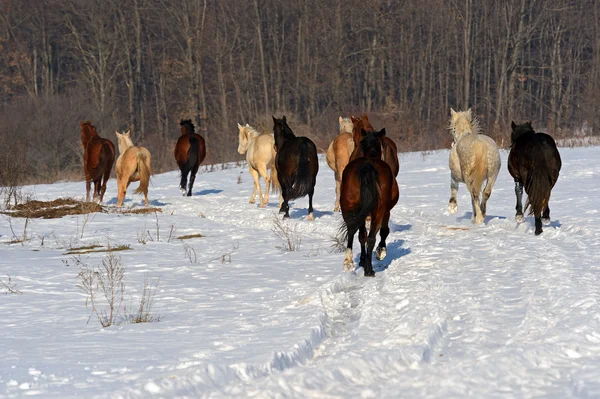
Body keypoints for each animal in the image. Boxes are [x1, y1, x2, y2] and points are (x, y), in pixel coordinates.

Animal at [342, 128, 398, 278]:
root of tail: (367, 165)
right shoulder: (386, 210)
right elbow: (384, 231)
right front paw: (380, 252)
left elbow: (362, 235)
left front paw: (362, 260)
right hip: (378, 211)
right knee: (372, 237)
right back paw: (369, 269)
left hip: (349, 207)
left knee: (352, 230)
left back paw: (348, 262)